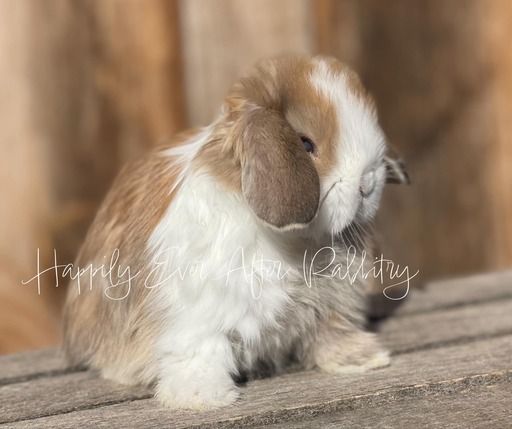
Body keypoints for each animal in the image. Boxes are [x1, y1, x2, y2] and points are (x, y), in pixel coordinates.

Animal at [63, 53, 408, 408]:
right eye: (305, 144)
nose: (368, 184)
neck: (294, 240)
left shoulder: (331, 305)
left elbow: (331, 332)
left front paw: (362, 359)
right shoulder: (196, 316)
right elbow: (199, 352)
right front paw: (203, 397)